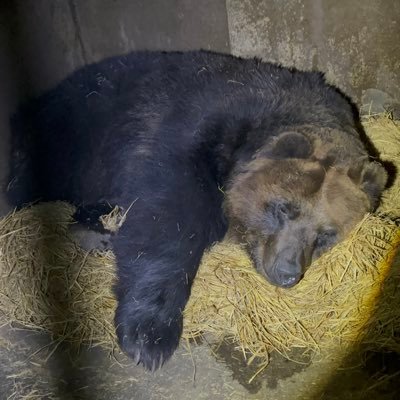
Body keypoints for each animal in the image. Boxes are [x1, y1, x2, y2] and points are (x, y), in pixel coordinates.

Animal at [6, 50, 388, 372]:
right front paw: (150, 335)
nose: (287, 273)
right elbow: (169, 219)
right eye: (282, 208)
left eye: (326, 235)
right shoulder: (188, 131)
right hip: (70, 132)